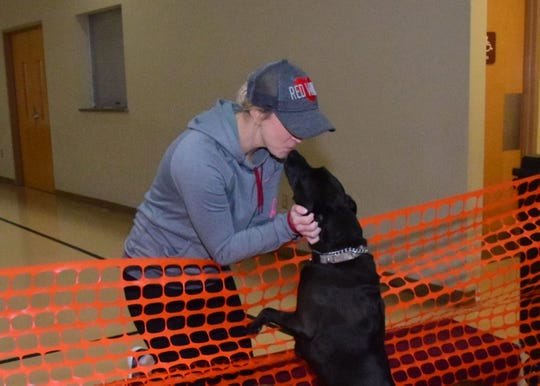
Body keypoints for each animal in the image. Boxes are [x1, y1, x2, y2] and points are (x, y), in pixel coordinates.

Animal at [247, 151, 394, 386]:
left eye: (310, 175)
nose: (293, 152)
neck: (339, 256)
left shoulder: (303, 322)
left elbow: (268, 310)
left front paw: (254, 325)